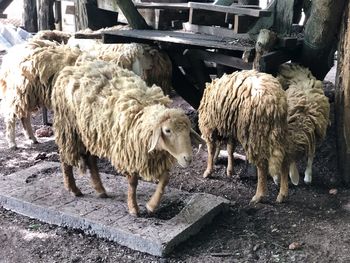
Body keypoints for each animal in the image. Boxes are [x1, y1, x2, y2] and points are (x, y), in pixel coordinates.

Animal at [50, 59, 201, 217]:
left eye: (187, 132)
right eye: (167, 130)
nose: (187, 158)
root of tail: (70, 69)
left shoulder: (154, 157)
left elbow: (165, 179)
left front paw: (151, 206)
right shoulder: (129, 153)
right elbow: (133, 183)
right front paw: (133, 208)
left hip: (91, 132)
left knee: (91, 161)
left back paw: (100, 190)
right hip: (69, 130)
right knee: (65, 158)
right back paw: (73, 189)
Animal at [198, 70, 288, 204]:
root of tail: (275, 101)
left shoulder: (209, 127)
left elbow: (211, 150)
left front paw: (208, 171)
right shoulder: (230, 130)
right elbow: (230, 149)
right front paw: (230, 170)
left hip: (255, 133)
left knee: (262, 165)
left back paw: (259, 195)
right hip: (278, 131)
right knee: (285, 159)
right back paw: (282, 194)